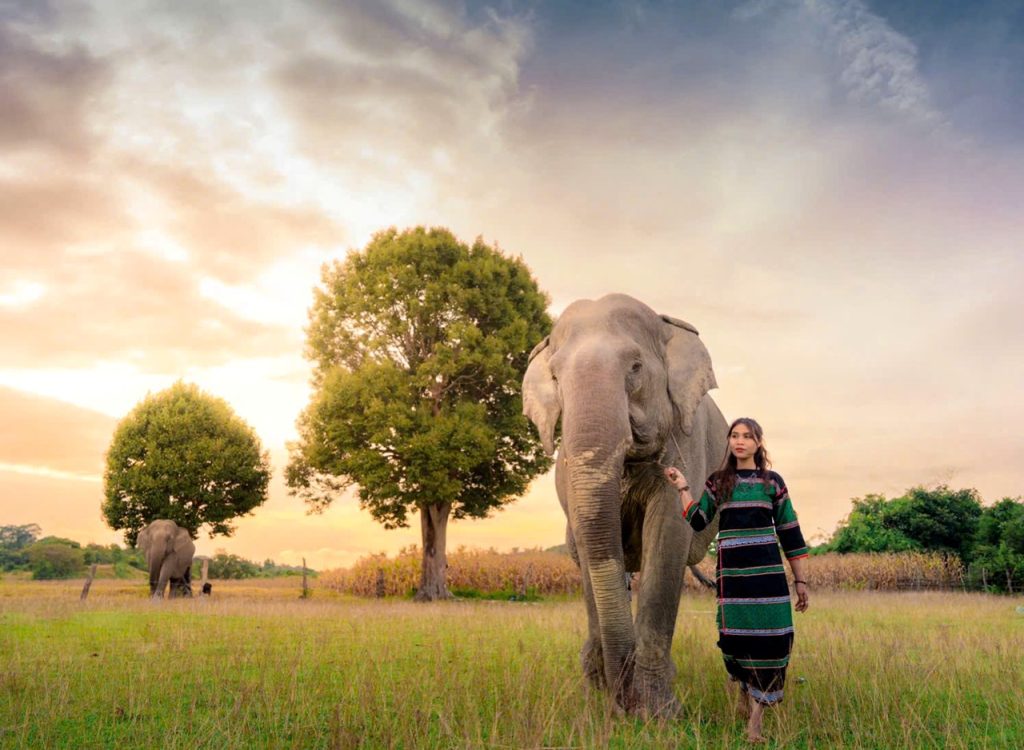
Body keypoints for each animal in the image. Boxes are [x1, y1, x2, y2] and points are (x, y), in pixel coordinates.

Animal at [522, 293, 727, 717]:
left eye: (635, 367)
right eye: (555, 378)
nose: (621, 706)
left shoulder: (687, 440)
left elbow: (667, 538)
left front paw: (657, 714)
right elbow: (589, 541)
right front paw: (610, 701)